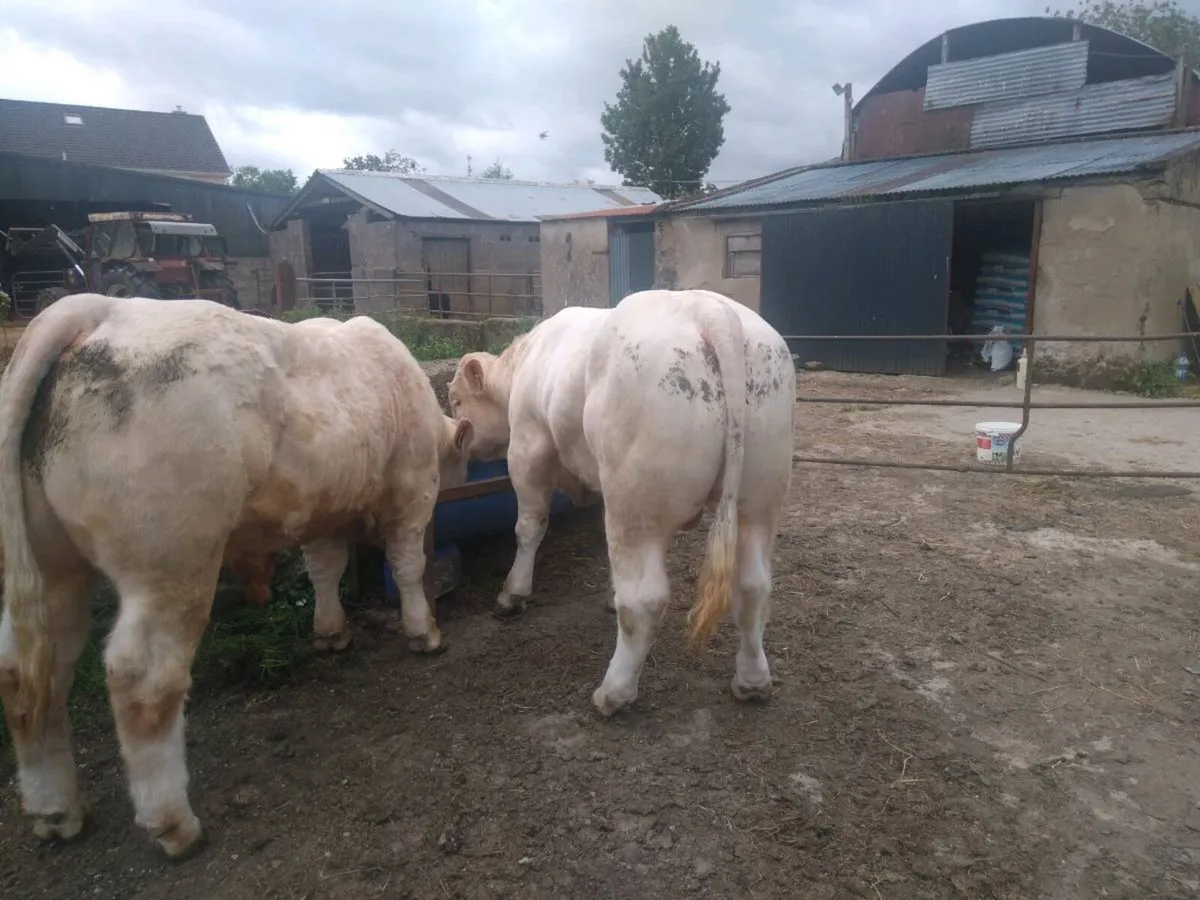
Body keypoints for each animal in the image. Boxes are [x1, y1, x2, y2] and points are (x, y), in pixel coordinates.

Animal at [0, 293, 473, 859]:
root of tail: (102, 309)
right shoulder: (410, 490)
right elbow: (406, 566)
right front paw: (425, 631)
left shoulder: (321, 511)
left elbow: (324, 568)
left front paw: (331, 632)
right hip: (173, 563)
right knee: (142, 679)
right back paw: (173, 823)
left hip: (54, 569)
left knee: (30, 673)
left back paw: (56, 809)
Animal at [447, 288, 795, 718]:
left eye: (456, 400)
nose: (459, 443)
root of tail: (707, 306)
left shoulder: (528, 446)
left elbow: (529, 525)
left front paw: (512, 593)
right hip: (759, 499)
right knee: (752, 586)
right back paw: (752, 681)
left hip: (636, 506)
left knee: (645, 601)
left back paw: (613, 692)